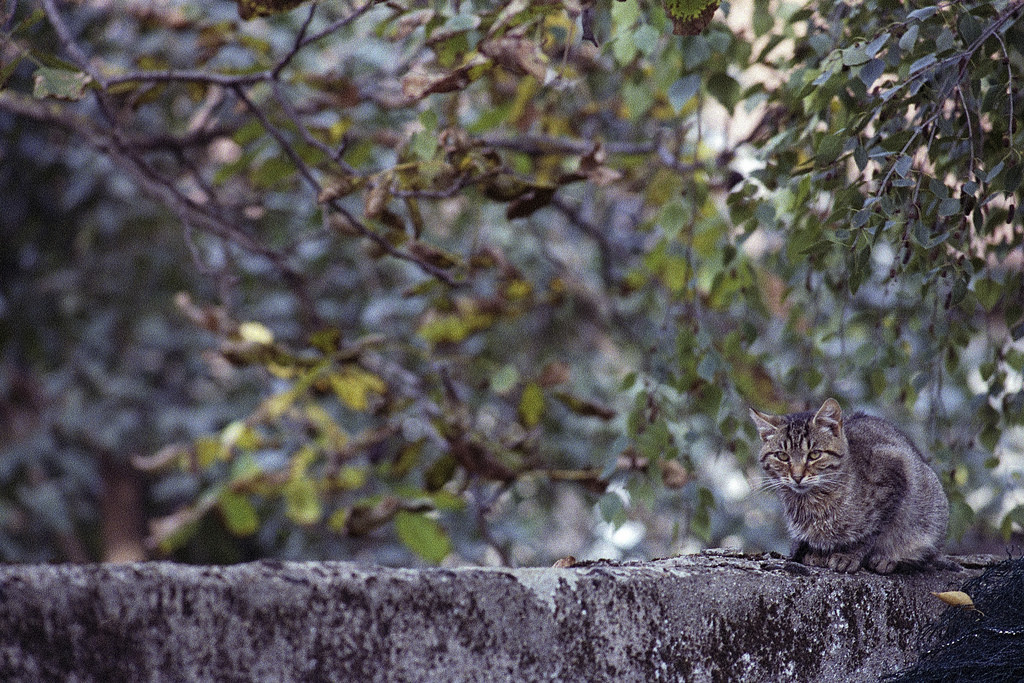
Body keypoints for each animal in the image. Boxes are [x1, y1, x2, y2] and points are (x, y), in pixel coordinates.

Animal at [749, 397, 946, 573]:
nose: (797, 476)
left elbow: (870, 533)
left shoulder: (894, 471)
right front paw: (817, 553)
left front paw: (848, 556)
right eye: (782, 456)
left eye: (814, 454)